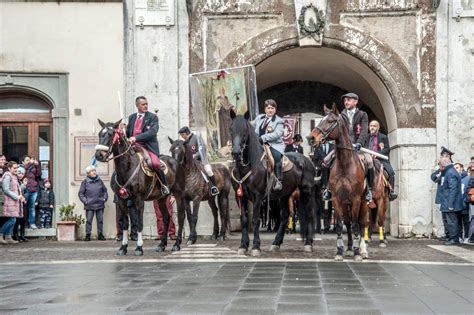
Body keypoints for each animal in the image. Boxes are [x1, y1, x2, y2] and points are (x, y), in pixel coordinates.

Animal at [95, 119, 187, 256]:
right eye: (100, 134)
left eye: (110, 134)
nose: (99, 155)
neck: (127, 168)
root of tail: (175, 161)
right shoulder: (121, 199)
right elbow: (125, 224)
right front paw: (123, 247)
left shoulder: (138, 200)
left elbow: (139, 224)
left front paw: (139, 248)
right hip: (161, 198)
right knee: (166, 217)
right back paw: (162, 244)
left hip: (178, 194)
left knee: (180, 217)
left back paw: (176, 244)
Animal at [230, 113, 314, 256]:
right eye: (231, 129)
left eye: (245, 131)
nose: (236, 152)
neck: (248, 165)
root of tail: (306, 160)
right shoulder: (240, 196)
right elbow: (244, 220)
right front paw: (243, 246)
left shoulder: (257, 196)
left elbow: (255, 220)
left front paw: (256, 246)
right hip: (285, 195)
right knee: (285, 216)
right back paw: (276, 243)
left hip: (306, 192)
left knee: (308, 214)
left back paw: (308, 244)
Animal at [310, 107, 372, 262]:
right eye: (321, 119)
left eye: (331, 121)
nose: (311, 138)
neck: (345, 164)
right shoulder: (337, 199)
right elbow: (339, 225)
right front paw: (339, 251)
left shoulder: (356, 199)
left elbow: (356, 225)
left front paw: (357, 253)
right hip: (345, 203)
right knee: (348, 223)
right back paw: (349, 248)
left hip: (363, 203)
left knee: (362, 223)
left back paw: (362, 250)